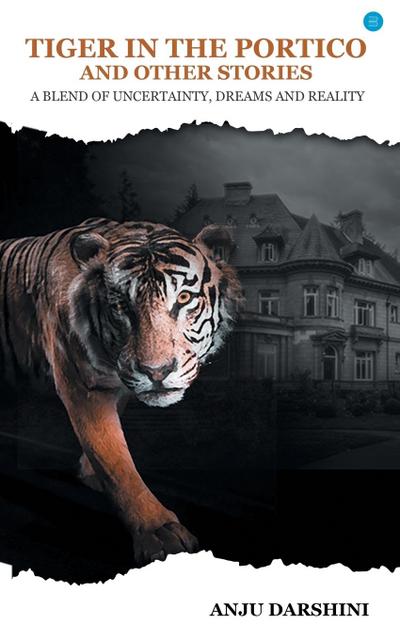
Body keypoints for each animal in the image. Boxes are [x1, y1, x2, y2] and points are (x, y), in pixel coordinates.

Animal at [0, 217, 241, 567]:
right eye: (121, 305)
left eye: (183, 299)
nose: (157, 371)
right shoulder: (84, 385)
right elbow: (114, 458)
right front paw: (158, 532)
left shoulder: (120, 381)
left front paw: (90, 472)